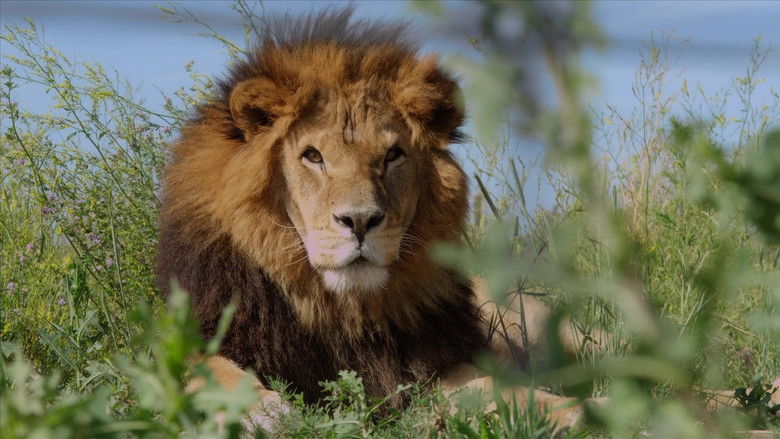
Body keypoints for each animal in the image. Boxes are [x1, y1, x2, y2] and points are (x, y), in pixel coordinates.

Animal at [155, 8, 602, 429]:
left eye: (393, 155)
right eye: (313, 156)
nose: (359, 221)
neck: (343, 314)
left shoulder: (433, 361)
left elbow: (497, 387)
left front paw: (581, 411)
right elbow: (204, 369)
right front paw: (264, 413)